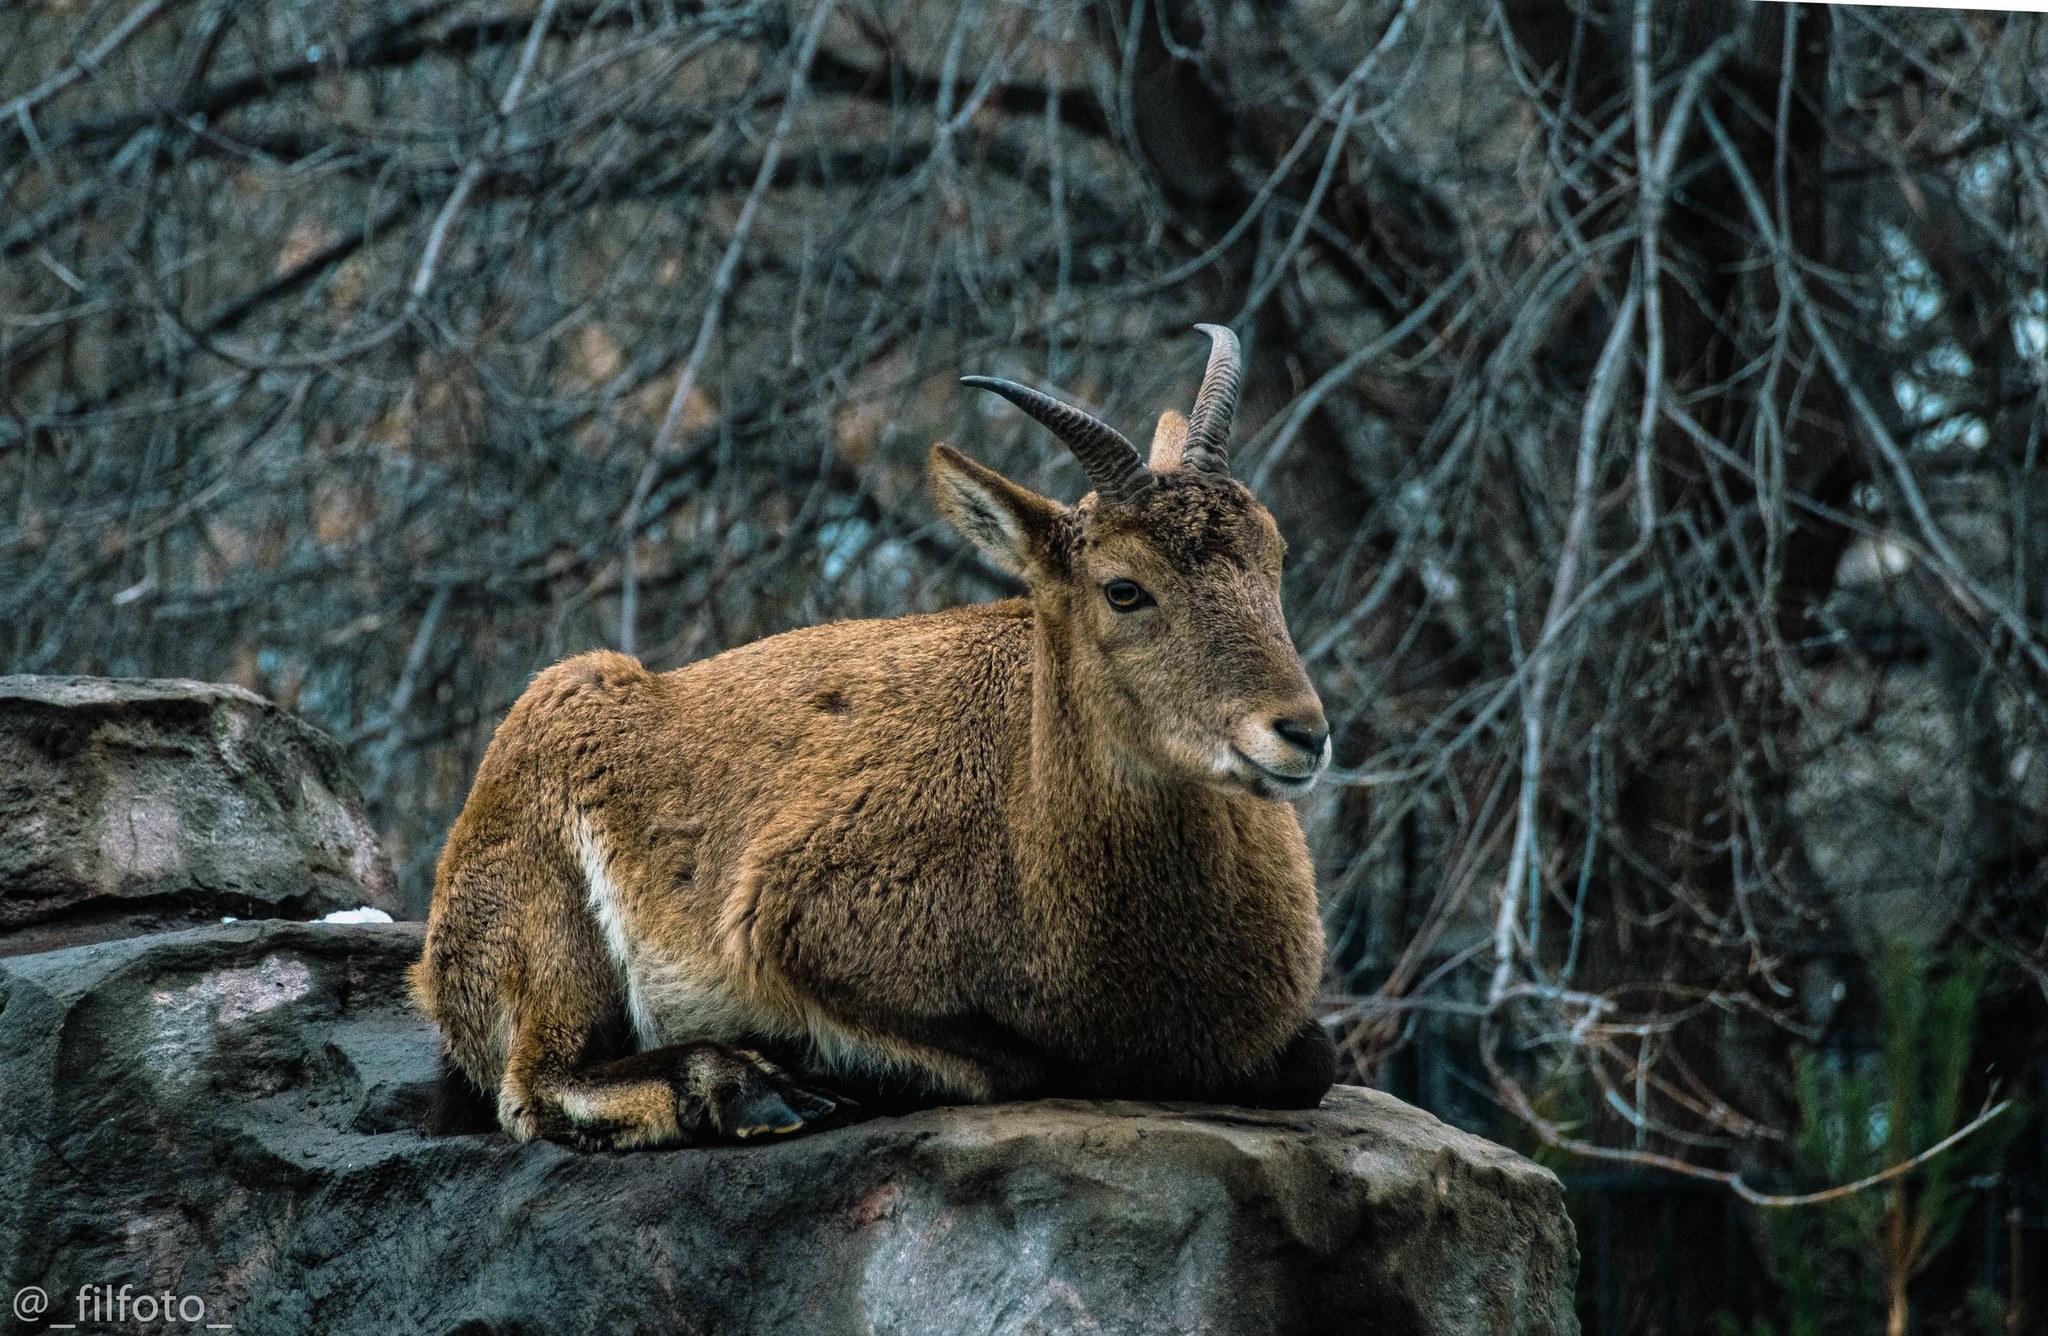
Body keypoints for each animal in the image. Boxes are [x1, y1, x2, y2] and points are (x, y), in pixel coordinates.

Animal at [415, 323, 1343, 1147]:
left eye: (1274, 555)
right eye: (1125, 588)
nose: (1301, 733)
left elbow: (1316, 1060)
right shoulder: (790, 923)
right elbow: (1017, 1065)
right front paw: (833, 1070)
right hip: (549, 924)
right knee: (535, 1084)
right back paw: (754, 1091)